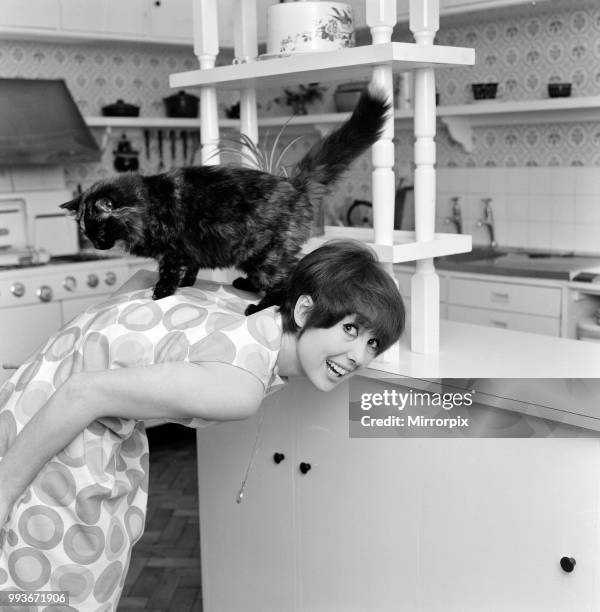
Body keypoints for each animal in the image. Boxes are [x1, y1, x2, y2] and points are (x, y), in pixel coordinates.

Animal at [61, 86, 390, 314]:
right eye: (87, 232)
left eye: (100, 228)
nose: (96, 246)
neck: (148, 204)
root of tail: (293, 184)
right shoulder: (189, 249)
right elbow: (191, 267)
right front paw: (188, 283)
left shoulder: (172, 249)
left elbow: (168, 273)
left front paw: (162, 292)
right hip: (253, 256)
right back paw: (244, 285)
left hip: (267, 256)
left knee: (285, 285)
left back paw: (256, 307)